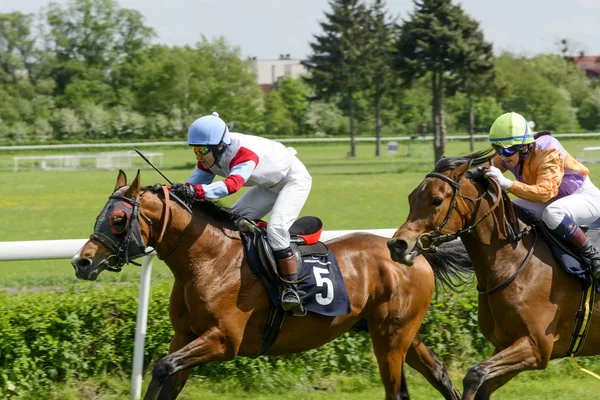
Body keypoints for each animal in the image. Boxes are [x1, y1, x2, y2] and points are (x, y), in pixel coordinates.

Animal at [69, 170, 464, 400]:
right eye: (101, 215)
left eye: (119, 218)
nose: (81, 262)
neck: (210, 260)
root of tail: (415, 254)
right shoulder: (185, 337)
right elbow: (164, 374)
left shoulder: (224, 340)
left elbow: (165, 367)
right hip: (396, 332)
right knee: (440, 374)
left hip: (391, 336)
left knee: (398, 392)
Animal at [386, 151, 600, 400]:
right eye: (411, 197)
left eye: (436, 200)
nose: (397, 245)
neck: (515, 262)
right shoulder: (506, 344)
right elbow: (482, 383)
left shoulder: (537, 346)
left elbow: (474, 374)